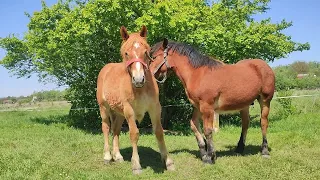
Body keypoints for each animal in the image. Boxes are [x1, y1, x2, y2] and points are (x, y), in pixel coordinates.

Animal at [95, 27, 174, 174]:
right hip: (104, 108)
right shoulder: (129, 110)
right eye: (126, 53)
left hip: (119, 113)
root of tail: (105, 68)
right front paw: (136, 165)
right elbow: (134, 134)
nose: (138, 79)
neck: (141, 89)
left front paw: (168, 162)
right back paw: (108, 156)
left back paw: (117, 156)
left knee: (116, 129)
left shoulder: (155, 108)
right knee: (106, 127)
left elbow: (159, 132)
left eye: (146, 52)